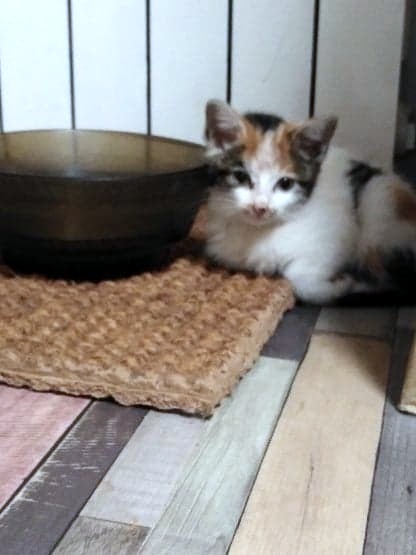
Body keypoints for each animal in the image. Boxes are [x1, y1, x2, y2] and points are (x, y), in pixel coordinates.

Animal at [203, 99, 416, 304]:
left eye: (285, 183)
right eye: (240, 177)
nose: (260, 207)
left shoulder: (337, 235)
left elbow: (295, 276)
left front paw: (340, 286)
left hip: (379, 204)